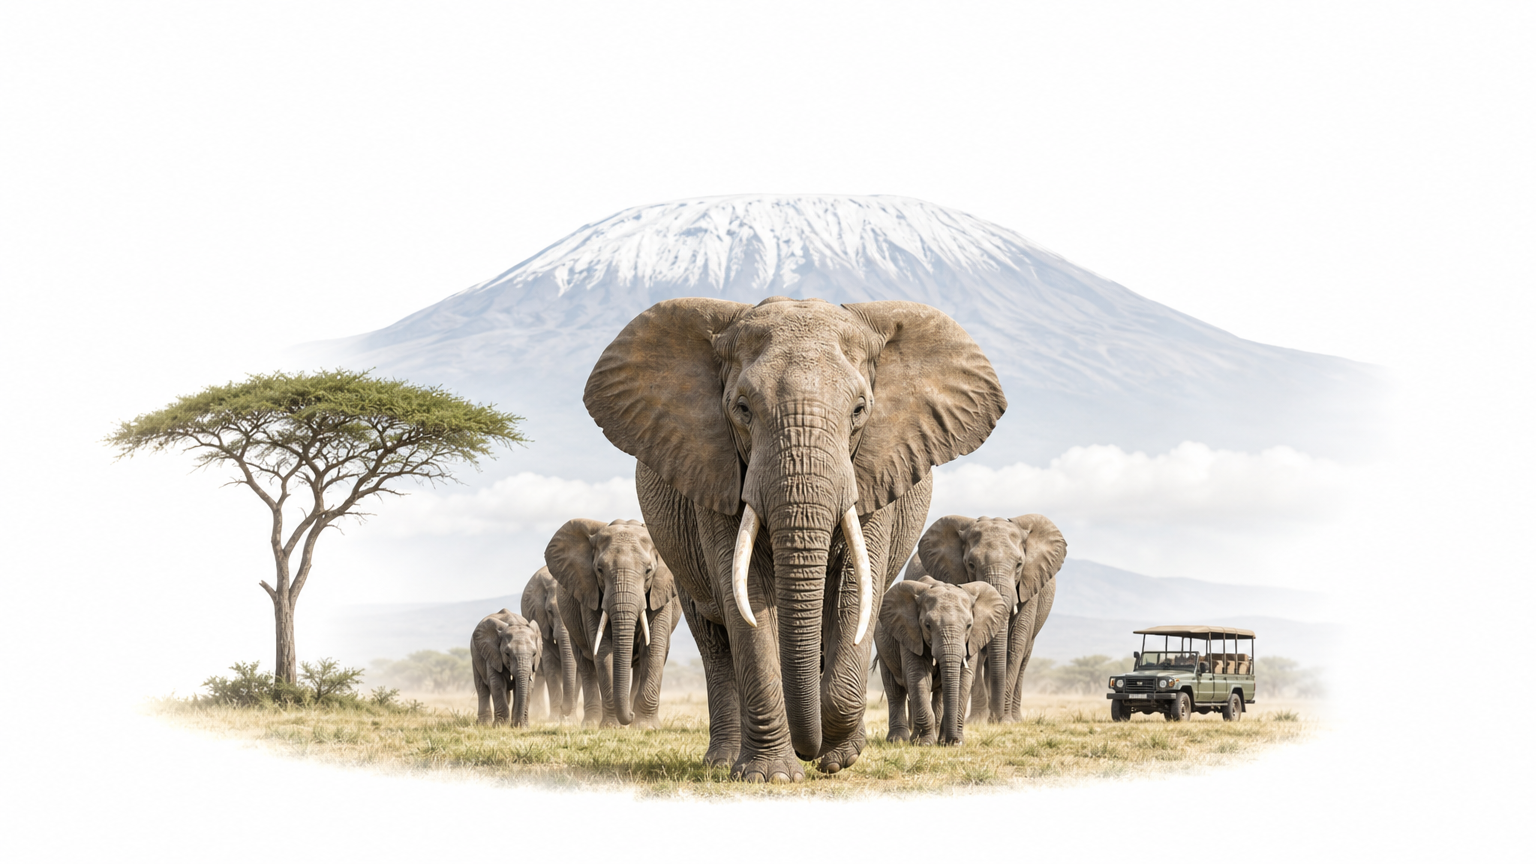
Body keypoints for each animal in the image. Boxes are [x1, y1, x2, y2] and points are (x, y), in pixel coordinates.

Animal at [521, 566, 579, 721]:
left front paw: (571, 720)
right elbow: (550, 667)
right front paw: (554, 719)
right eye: (549, 611)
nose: (563, 709)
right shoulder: (540, 621)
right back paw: (538, 714)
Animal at [544, 518, 682, 728]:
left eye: (648, 571)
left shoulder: (660, 592)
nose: (630, 715)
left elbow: (654, 647)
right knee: (586, 665)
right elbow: (603, 650)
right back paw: (591, 723)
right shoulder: (589, 592)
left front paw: (645, 727)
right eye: (599, 570)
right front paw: (612, 727)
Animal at [874, 576, 1010, 746]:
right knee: (894, 690)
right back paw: (897, 740)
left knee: (938, 693)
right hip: (883, 647)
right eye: (927, 625)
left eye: (969, 625)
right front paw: (923, 743)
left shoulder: (972, 640)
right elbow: (917, 677)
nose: (954, 741)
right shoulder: (911, 634)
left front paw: (951, 743)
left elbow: (964, 679)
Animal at [910, 514, 1067, 722]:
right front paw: (978, 721)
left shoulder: (1029, 586)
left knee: (1024, 657)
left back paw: (1014, 718)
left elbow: (1016, 644)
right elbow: (976, 652)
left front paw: (1005, 722)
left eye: (1019, 564)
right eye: (971, 564)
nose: (997, 716)